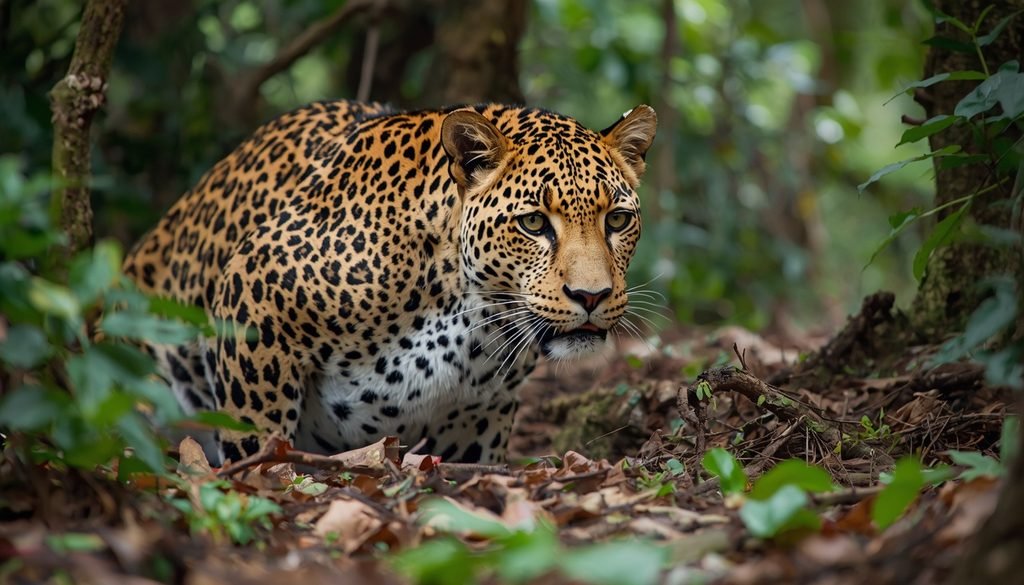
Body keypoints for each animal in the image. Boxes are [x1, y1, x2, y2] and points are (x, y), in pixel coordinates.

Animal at [123, 100, 657, 465]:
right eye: (533, 223)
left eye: (616, 220)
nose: (591, 296)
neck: (471, 320)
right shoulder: (252, 293)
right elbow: (255, 431)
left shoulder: (479, 412)